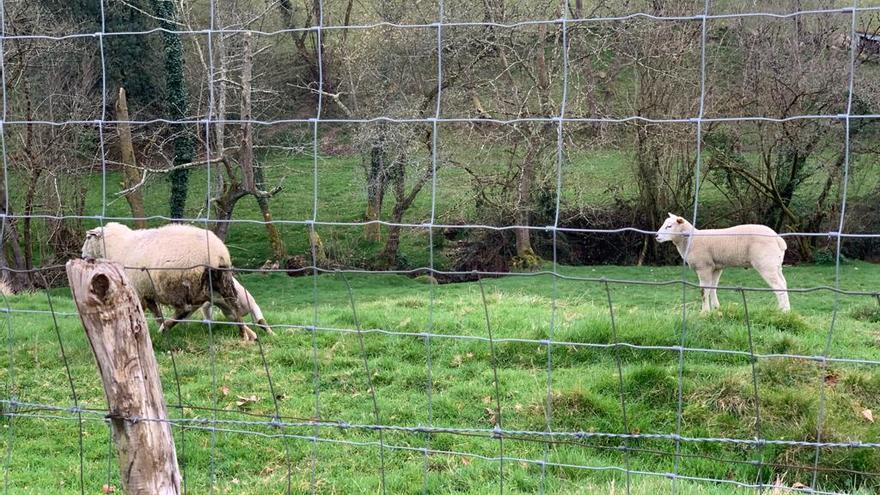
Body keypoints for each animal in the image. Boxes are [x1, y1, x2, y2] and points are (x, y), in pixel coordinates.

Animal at [80, 224, 272, 342]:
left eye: (88, 238)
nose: (81, 255)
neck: (118, 246)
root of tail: (218, 253)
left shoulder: (139, 291)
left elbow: (150, 314)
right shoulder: (147, 291)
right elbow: (157, 313)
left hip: (182, 283)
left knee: (185, 309)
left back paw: (166, 327)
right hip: (220, 280)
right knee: (232, 306)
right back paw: (246, 334)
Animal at [652, 213, 792, 314]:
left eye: (669, 226)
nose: (656, 236)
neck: (690, 240)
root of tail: (779, 240)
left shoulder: (704, 267)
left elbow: (704, 291)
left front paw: (704, 312)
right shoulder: (716, 267)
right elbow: (712, 288)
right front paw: (716, 309)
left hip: (766, 264)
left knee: (778, 286)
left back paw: (783, 312)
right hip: (776, 265)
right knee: (784, 283)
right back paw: (787, 310)